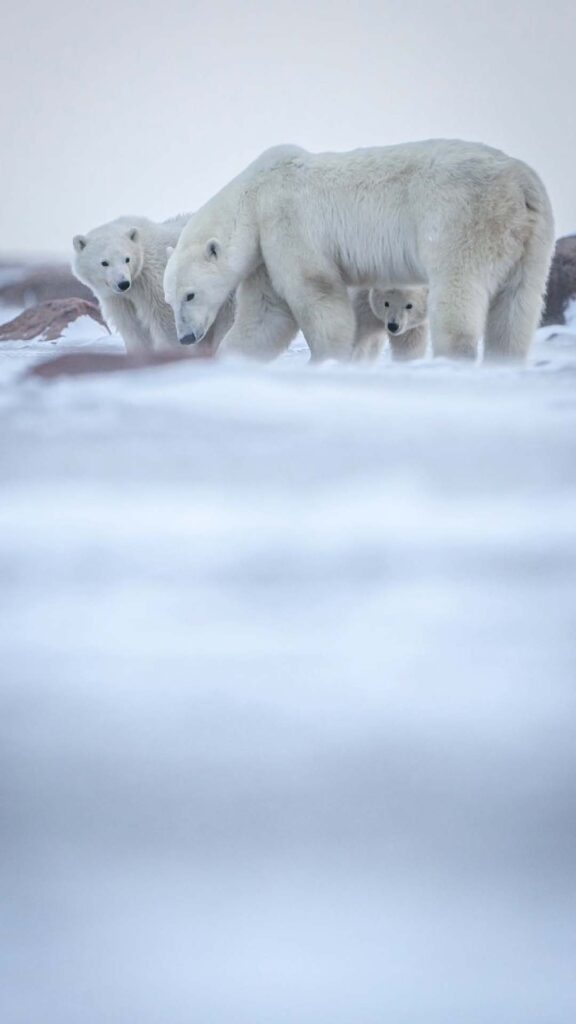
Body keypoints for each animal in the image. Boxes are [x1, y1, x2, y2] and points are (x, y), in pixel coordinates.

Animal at [72, 215, 233, 357]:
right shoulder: (118, 298)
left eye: (127, 259)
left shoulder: (155, 280)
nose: (123, 283)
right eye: (104, 262)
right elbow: (132, 328)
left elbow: (167, 322)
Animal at [163, 140, 554, 364]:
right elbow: (266, 314)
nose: (185, 338)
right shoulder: (264, 251)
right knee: (517, 307)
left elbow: (316, 292)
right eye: (170, 299)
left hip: (463, 221)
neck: (255, 194)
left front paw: (325, 361)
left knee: (458, 291)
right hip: (529, 240)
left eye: (190, 294)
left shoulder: (287, 223)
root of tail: (522, 183)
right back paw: (504, 361)